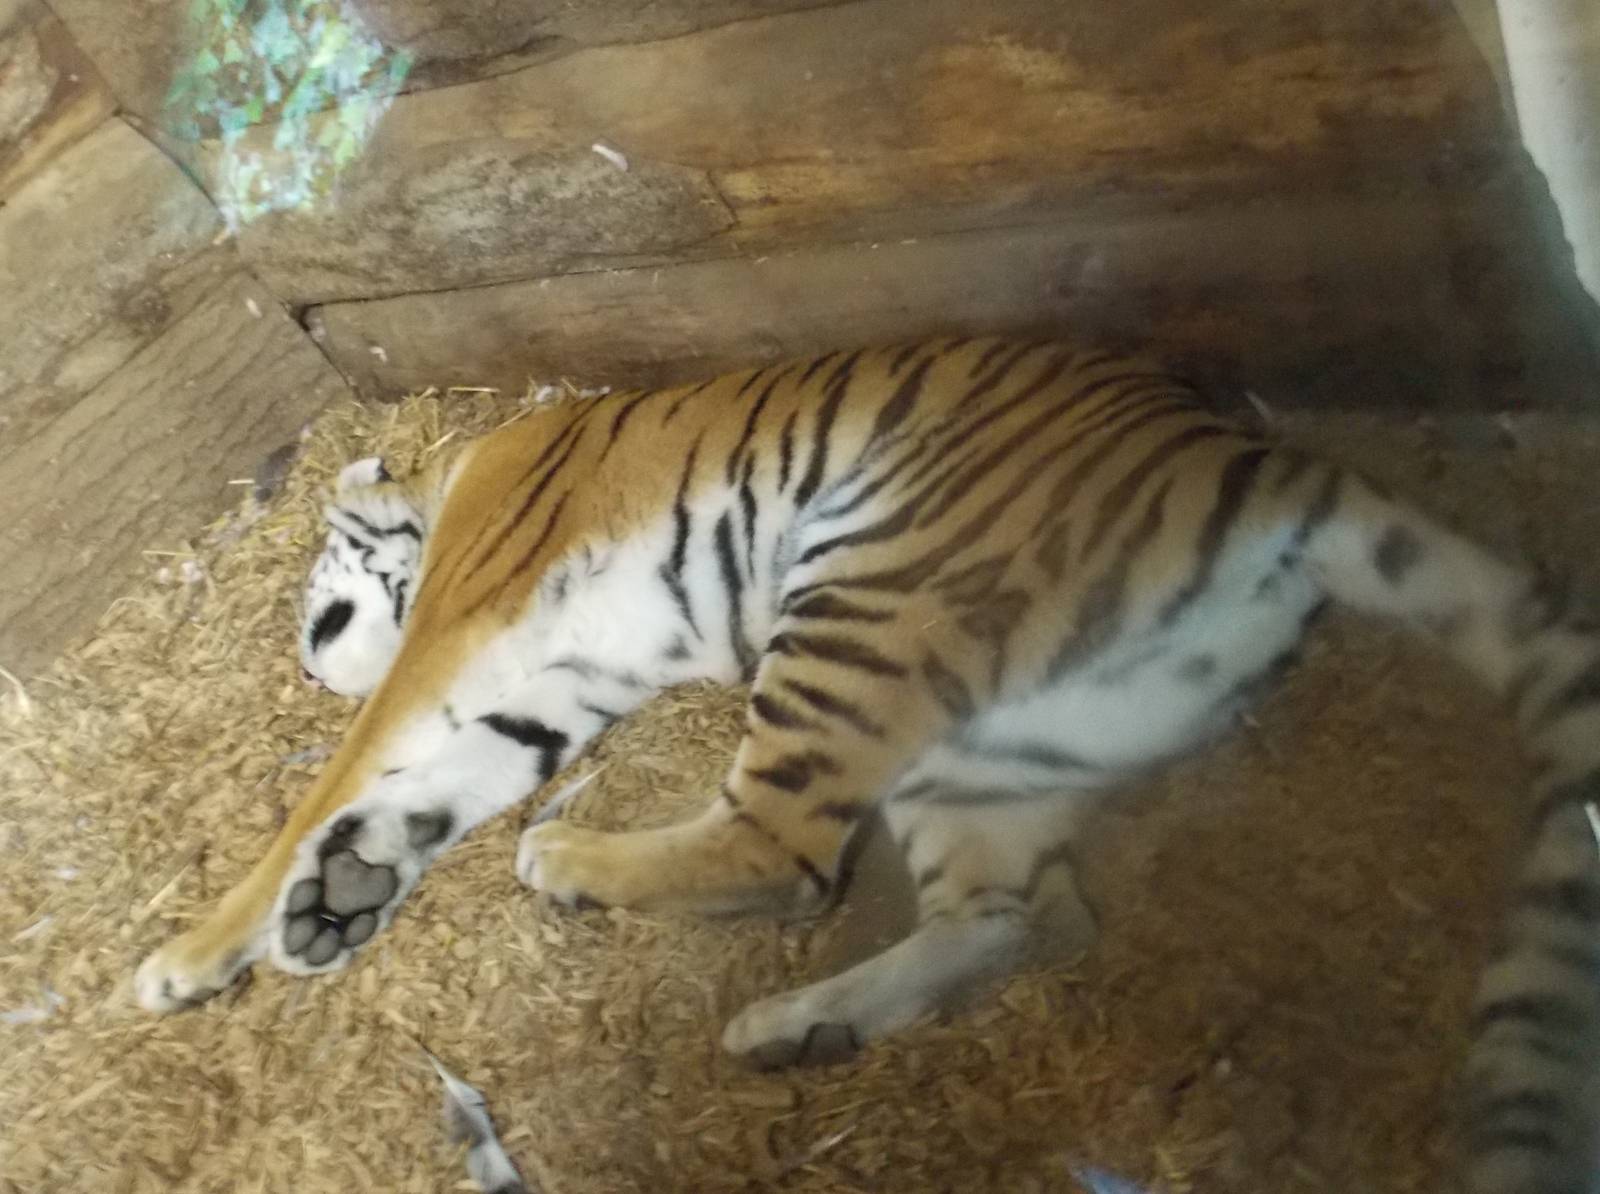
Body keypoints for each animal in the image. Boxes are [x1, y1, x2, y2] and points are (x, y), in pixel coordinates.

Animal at [133, 337, 1599, 1192]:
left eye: (312, 601)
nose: (303, 650)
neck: (447, 478)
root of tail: (1266, 465)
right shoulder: (552, 687)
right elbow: (424, 791)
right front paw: (339, 898)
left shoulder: (462, 618)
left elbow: (334, 781)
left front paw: (196, 949)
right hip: (988, 745)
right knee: (1023, 910)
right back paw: (802, 1025)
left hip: (865, 584)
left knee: (782, 848)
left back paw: (577, 862)